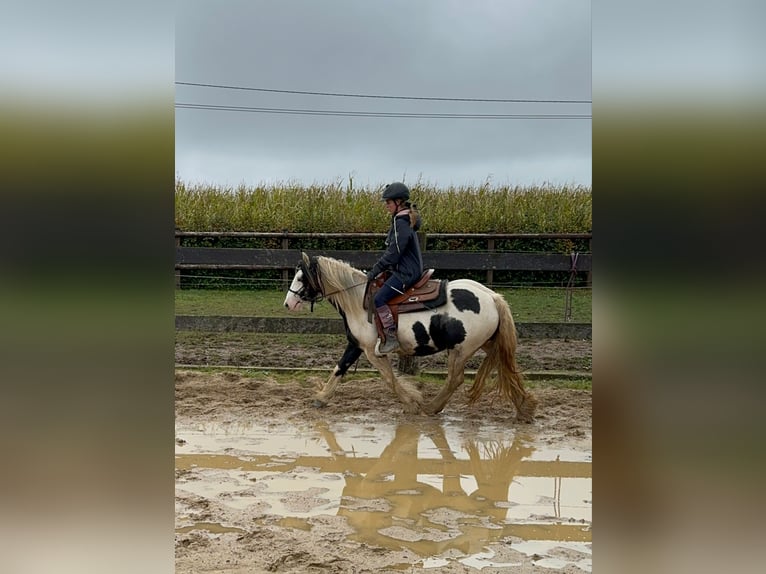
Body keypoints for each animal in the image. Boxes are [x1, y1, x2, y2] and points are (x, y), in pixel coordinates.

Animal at [284, 252, 540, 424]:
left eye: (300, 278)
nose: (288, 303)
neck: (357, 299)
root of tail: (491, 297)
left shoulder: (372, 351)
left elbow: (390, 379)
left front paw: (411, 403)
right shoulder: (356, 345)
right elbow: (340, 368)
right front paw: (321, 397)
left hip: (461, 350)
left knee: (455, 379)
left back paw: (431, 407)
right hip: (487, 344)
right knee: (506, 368)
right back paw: (524, 407)